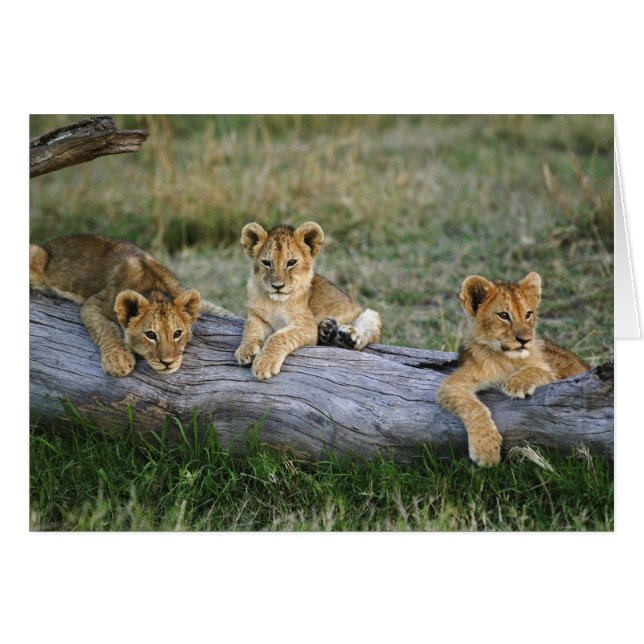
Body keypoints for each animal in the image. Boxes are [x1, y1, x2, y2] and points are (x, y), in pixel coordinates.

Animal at [30, 234, 234, 377]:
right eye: (150, 335)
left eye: (177, 334)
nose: (168, 362)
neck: (154, 287)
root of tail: (48, 243)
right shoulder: (94, 304)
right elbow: (107, 329)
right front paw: (118, 360)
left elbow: (217, 309)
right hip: (35, 253)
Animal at [235, 222, 382, 380]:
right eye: (267, 263)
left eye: (291, 262)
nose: (277, 286)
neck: (275, 302)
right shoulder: (256, 315)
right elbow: (250, 329)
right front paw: (245, 350)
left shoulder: (306, 326)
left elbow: (279, 337)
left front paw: (264, 364)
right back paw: (327, 329)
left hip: (369, 314)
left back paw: (348, 336)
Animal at [436, 272, 589, 467]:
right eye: (503, 315)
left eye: (528, 314)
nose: (525, 340)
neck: (507, 359)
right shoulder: (452, 384)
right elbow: (474, 408)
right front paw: (486, 450)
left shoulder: (562, 378)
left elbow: (539, 371)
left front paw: (517, 383)